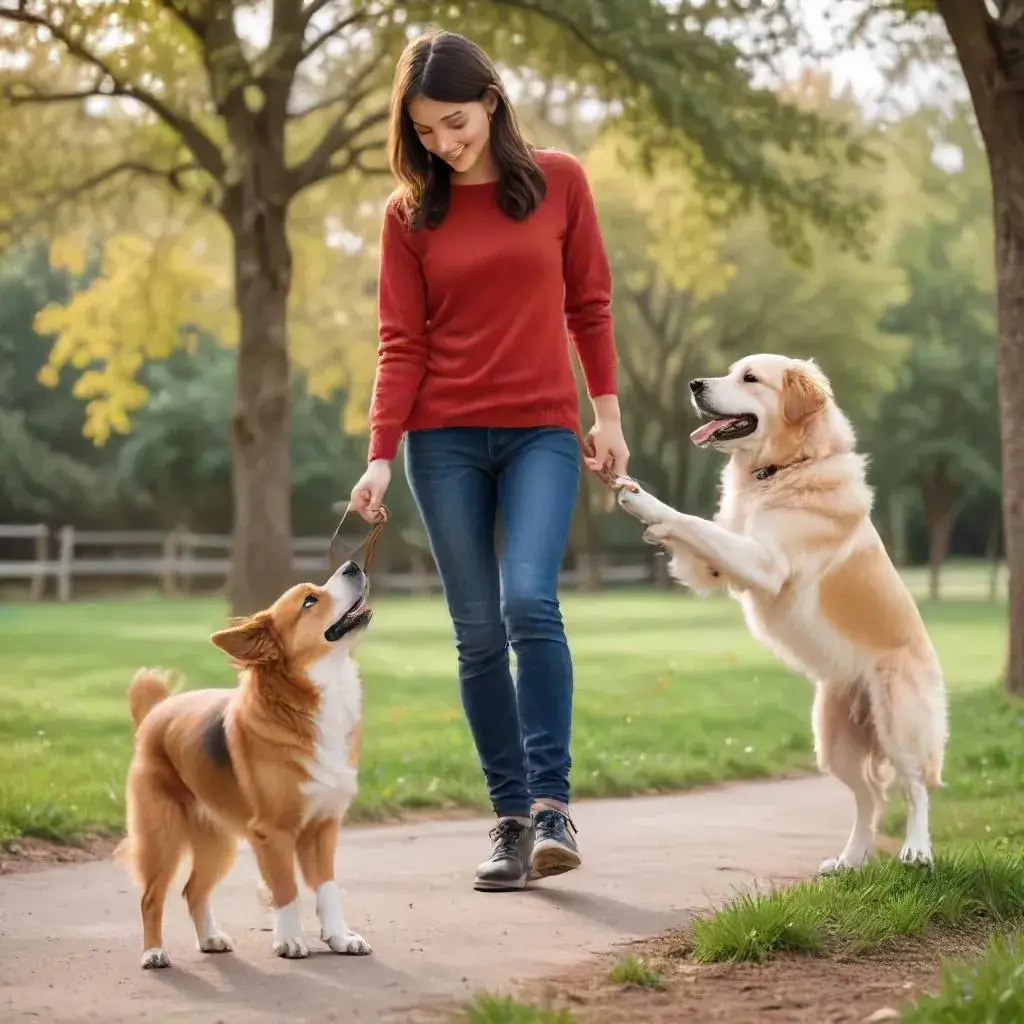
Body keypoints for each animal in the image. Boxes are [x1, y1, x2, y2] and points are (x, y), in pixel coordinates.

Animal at [114, 561, 376, 966]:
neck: (309, 699)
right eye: (309, 600)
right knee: (151, 897)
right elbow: (285, 889)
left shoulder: (323, 828)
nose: (352, 565)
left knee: (193, 890)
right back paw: (154, 951)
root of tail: (155, 712)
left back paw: (209, 938)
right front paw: (290, 940)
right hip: (163, 838)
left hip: (217, 844)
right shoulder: (273, 833)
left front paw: (339, 937)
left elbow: (327, 888)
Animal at [610, 352, 946, 872]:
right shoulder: (714, 568)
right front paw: (642, 511)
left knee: (915, 786)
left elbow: (695, 523)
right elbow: (700, 535)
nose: (694, 384)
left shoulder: (765, 563)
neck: (780, 468)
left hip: (899, 720)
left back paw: (916, 849)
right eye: (730, 372)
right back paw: (849, 861)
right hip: (833, 740)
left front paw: (645, 501)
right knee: (869, 797)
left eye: (750, 378)